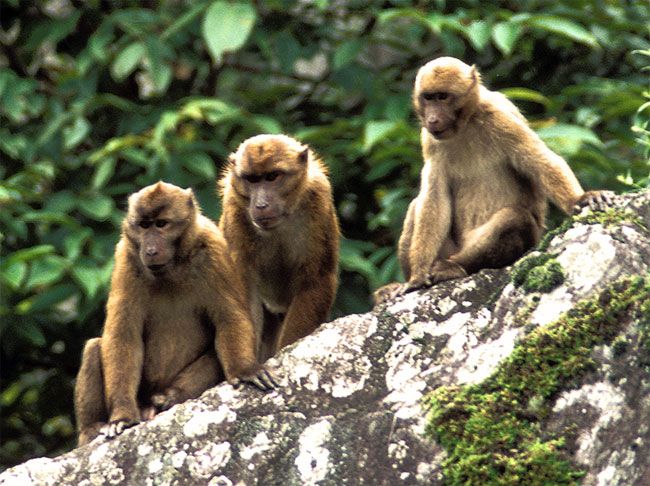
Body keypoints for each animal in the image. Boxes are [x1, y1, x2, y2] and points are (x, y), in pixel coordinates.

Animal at [74, 181, 276, 444]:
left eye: (161, 224)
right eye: (144, 225)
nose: (150, 249)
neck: (172, 267)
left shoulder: (212, 249)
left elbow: (230, 319)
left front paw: (244, 371)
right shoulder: (126, 257)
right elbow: (122, 336)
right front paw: (122, 417)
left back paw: (169, 398)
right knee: (94, 347)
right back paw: (90, 429)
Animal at [219, 133, 340, 360]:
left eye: (273, 176)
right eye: (252, 180)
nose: (260, 205)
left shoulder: (318, 198)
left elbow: (315, 280)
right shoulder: (234, 208)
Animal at [372, 57, 612, 304]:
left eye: (443, 97)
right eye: (428, 98)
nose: (432, 118)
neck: (467, 122)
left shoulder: (501, 118)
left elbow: (539, 160)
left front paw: (580, 198)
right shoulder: (429, 139)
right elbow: (434, 198)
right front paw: (417, 277)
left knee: (513, 217)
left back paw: (454, 267)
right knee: (416, 206)